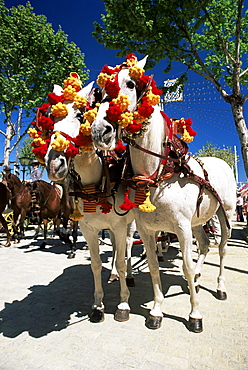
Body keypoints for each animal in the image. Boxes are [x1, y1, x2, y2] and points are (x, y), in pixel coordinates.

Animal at [43, 81, 135, 320]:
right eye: (51, 118)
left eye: (79, 114)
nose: (54, 164)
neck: (97, 182)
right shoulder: (88, 229)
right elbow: (95, 264)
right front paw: (98, 305)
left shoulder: (119, 225)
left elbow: (121, 260)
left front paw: (123, 304)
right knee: (116, 248)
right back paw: (112, 274)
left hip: (130, 223)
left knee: (128, 246)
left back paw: (129, 276)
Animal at [90, 55, 236, 332]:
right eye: (100, 92)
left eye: (131, 84)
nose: (99, 130)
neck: (157, 174)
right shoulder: (147, 229)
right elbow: (155, 267)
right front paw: (157, 310)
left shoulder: (181, 227)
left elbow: (186, 268)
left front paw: (195, 314)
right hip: (198, 222)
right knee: (204, 245)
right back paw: (199, 279)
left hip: (226, 215)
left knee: (221, 249)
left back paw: (221, 287)